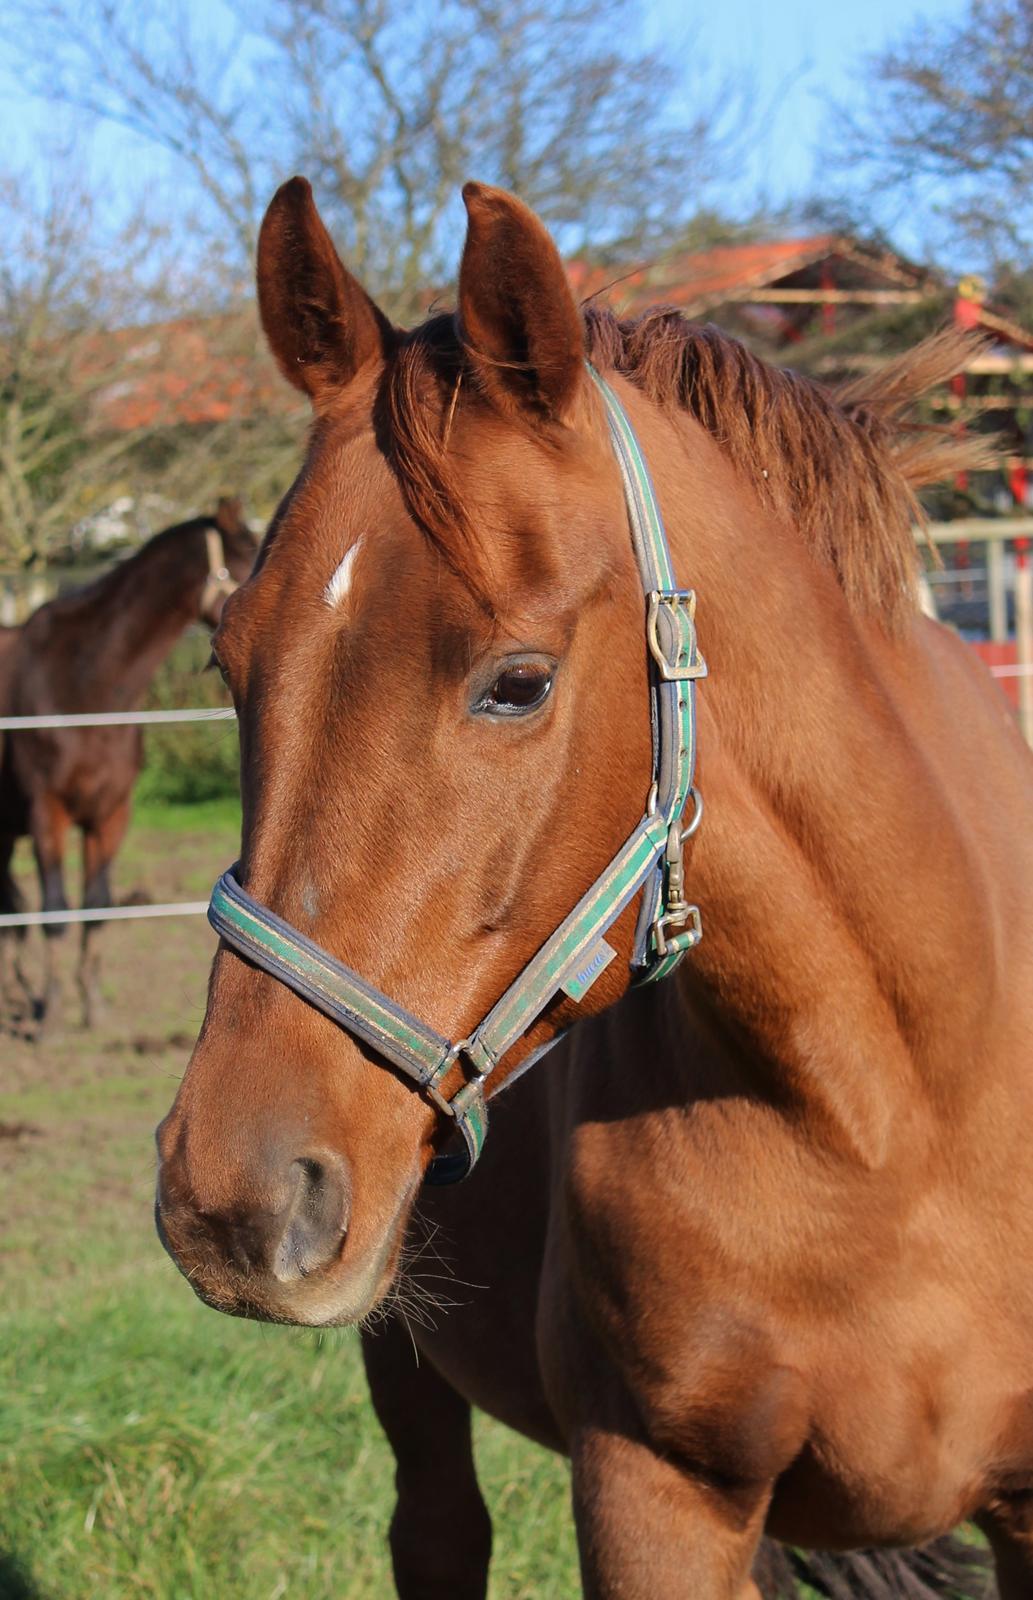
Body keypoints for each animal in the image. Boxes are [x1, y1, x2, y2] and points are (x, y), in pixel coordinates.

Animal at [0, 492, 257, 1030]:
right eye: (251, 552)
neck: (83, 684)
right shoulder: (47, 813)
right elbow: (55, 909)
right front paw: (52, 1011)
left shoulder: (111, 814)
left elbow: (96, 906)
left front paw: (92, 1003)